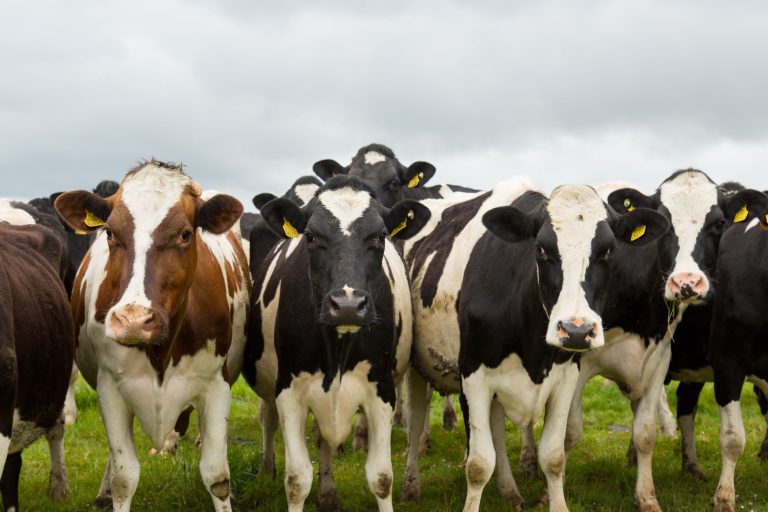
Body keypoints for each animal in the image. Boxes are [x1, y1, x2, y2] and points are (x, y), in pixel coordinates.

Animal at [54, 160, 250, 511]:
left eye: (185, 234)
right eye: (110, 232)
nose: (133, 321)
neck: (161, 352)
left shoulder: (217, 385)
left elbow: (217, 475)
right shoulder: (110, 388)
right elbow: (124, 477)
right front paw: (112, 490)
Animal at [243, 175, 430, 511]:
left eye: (380, 236)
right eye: (311, 236)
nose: (347, 304)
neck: (338, 349)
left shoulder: (382, 390)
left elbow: (382, 477)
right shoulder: (289, 390)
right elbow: (297, 480)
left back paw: (328, 494)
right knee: (268, 418)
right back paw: (267, 469)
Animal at [401, 179, 669, 511]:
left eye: (608, 251)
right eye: (542, 248)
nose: (576, 330)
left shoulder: (566, 378)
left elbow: (553, 456)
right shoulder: (474, 376)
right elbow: (478, 463)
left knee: (497, 429)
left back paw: (509, 491)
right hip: (415, 368)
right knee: (414, 423)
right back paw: (410, 486)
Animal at [563, 170, 766, 511]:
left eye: (719, 223)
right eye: (665, 223)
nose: (687, 283)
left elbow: (646, 430)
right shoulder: (728, 362)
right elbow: (733, 438)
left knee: (683, 402)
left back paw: (689, 464)